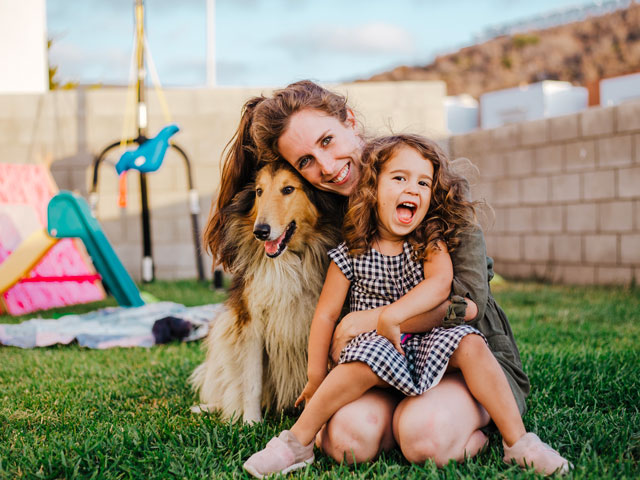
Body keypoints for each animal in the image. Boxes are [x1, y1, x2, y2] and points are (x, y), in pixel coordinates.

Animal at [189, 162, 342, 424]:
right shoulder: (251, 323)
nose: (260, 231)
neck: (287, 261)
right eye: (259, 191)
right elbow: (251, 381)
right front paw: (251, 423)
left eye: (288, 189)